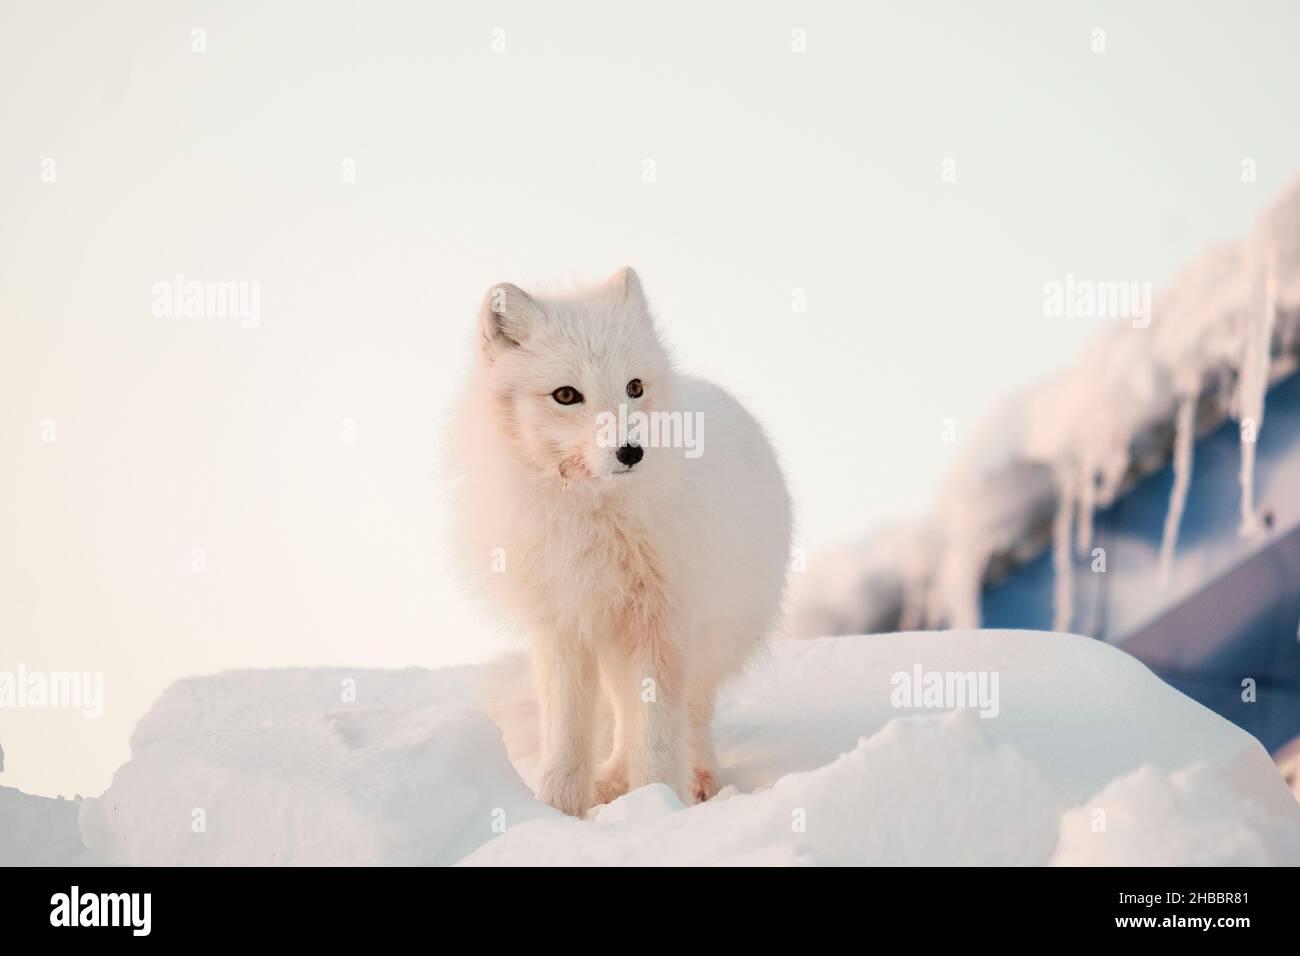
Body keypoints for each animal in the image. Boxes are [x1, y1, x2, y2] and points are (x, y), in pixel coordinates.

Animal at [462, 267, 795, 816]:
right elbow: (566, 731)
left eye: (633, 387)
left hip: (707, 635)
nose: (631, 450)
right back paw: (611, 783)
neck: (592, 515)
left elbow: (657, 732)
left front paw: (656, 804)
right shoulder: (562, 625)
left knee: (691, 715)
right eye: (566, 395)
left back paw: (697, 781)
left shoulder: (661, 623)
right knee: (621, 715)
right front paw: (556, 809)